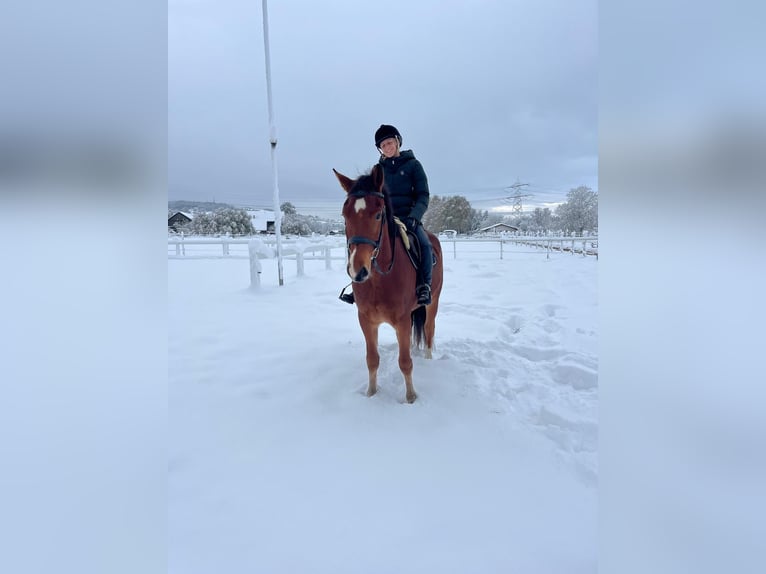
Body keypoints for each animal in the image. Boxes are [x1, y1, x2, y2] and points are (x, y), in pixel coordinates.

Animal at [334, 163, 444, 404]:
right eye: (345, 215)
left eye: (377, 215)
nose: (358, 271)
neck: (379, 280)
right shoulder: (366, 321)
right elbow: (372, 359)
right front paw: (371, 393)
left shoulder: (401, 320)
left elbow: (405, 363)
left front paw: (411, 398)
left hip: (433, 302)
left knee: (429, 328)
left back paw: (428, 359)